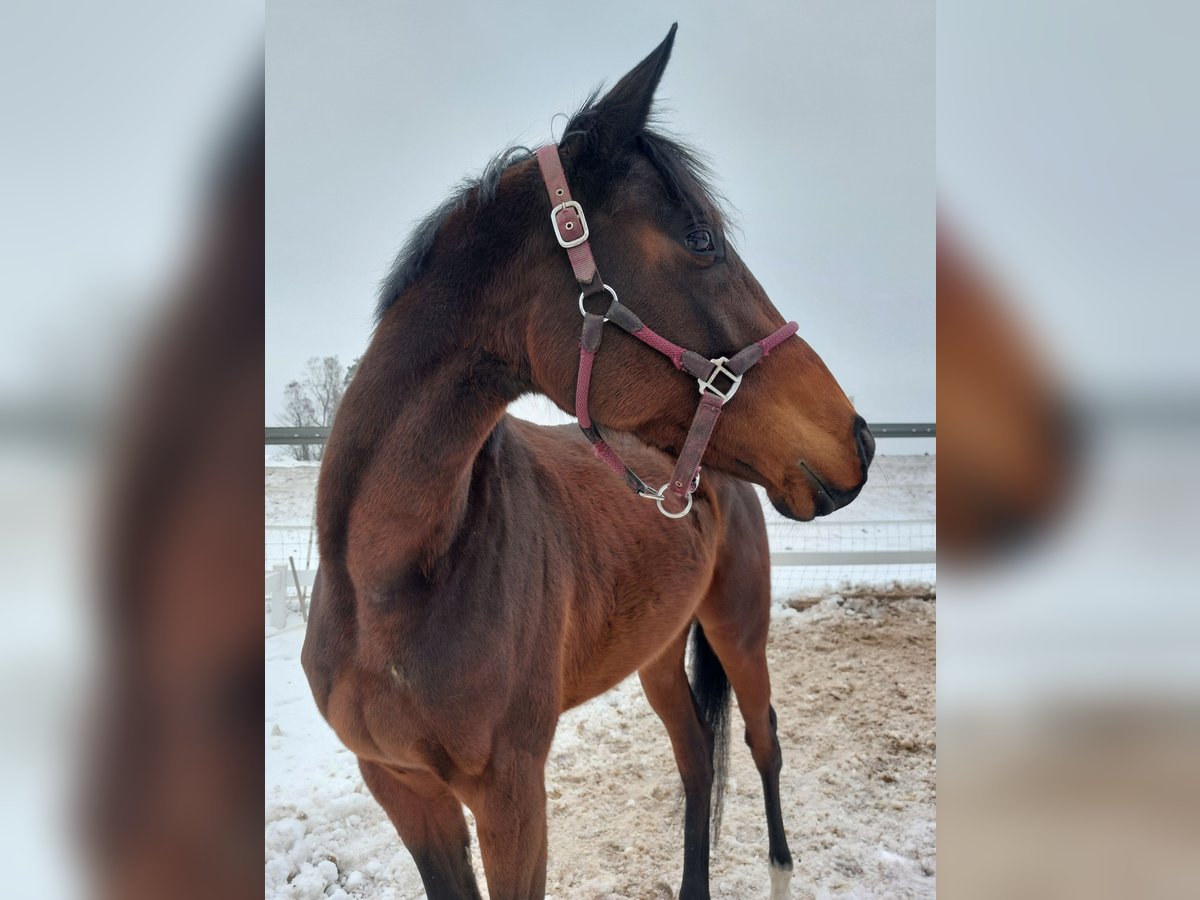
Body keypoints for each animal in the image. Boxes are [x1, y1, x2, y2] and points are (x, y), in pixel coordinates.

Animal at [302, 25, 873, 900]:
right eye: (700, 239)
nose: (860, 440)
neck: (385, 590)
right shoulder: (403, 792)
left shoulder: (509, 796)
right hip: (659, 654)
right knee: (695, 760)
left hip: (739, 632)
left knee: (762, 737)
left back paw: (780, 865)